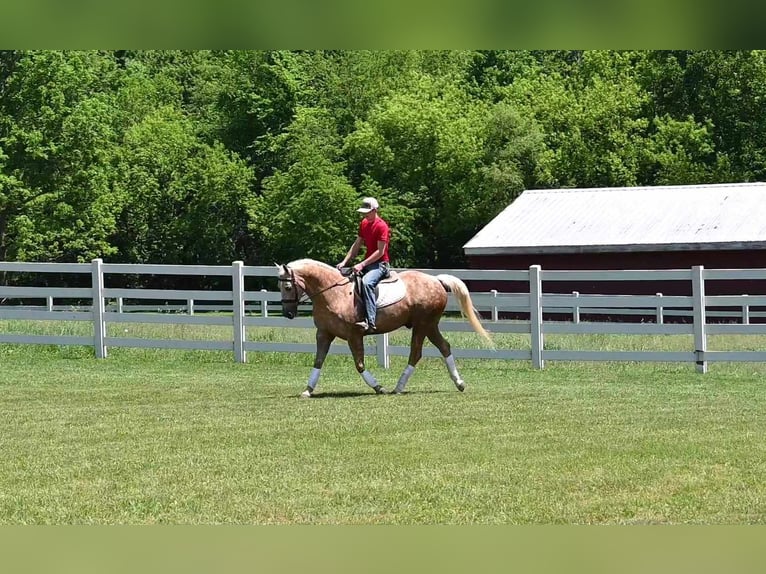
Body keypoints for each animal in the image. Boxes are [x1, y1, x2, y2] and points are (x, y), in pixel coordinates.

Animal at [277, 258, 492, 397]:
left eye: (287, 287)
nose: (288, 314)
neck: (334, 293)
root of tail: (436, 280)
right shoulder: (323, 334)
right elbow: (318, 361)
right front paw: (308, 390)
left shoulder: (354, 335)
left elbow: (359, 364)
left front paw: (378, 387)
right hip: (430, 325)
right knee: (444, 347)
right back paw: (459, 383)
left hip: (422, 324)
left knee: (416, 353)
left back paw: (398, 387)